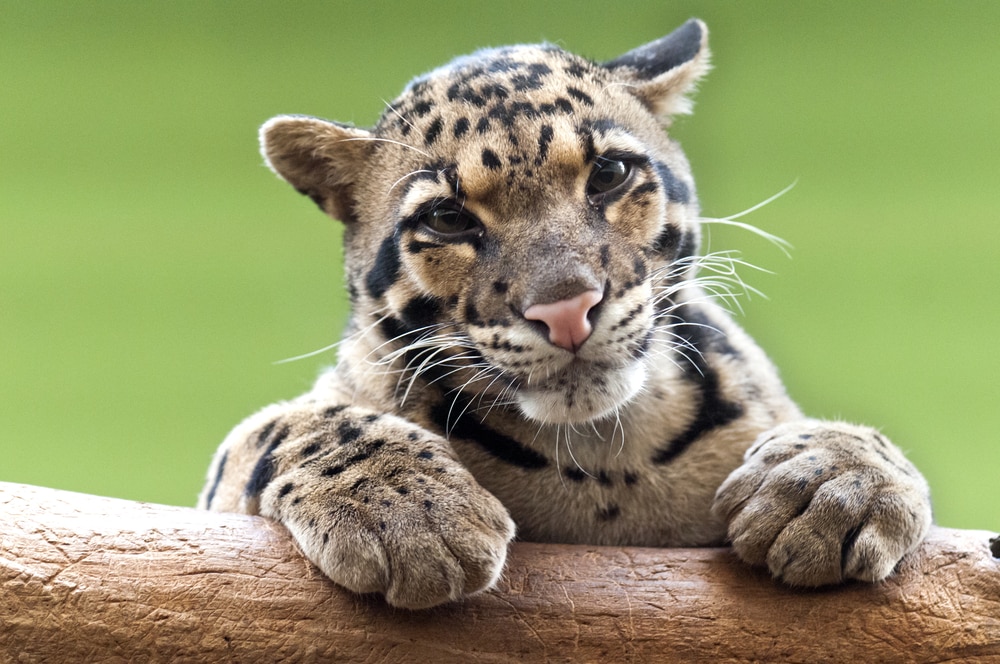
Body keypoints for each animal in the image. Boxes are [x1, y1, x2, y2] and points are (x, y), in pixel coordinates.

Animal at [199, 19, 932, 609]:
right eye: (447, 218)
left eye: (608, 174)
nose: (566, 309)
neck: (604, 459)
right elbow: (289, 424)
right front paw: (406, 508)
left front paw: (834, 481)